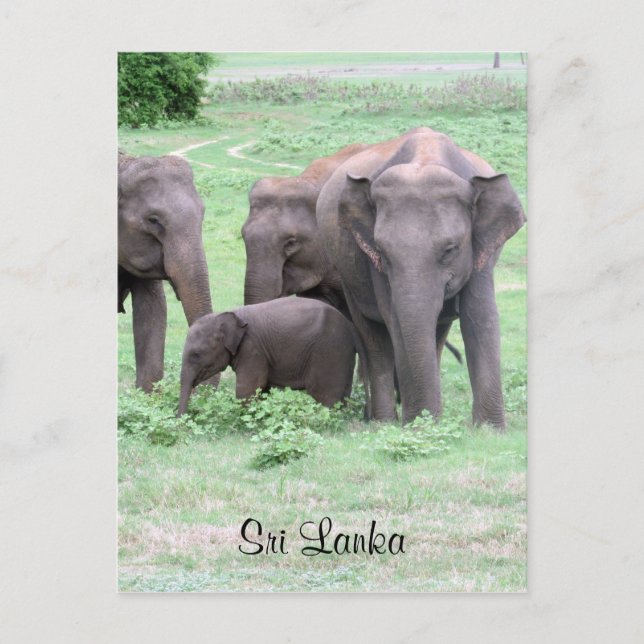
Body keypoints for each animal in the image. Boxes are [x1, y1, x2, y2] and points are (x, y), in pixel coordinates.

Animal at [177, 298, 364, 416]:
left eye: (196, 355)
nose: (183, 419)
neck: (230, 314)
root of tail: (352, 330)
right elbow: (262, 388)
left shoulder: (252, 349)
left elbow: (248, 387)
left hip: (329, 351)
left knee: (325, 396)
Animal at [316, 127, 526, 428]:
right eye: (382, 251)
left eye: (450, 250)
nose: (425, 420)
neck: (426, 157)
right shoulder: (372, 260)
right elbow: (395, 319)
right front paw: (421, 426)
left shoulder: (482, 247)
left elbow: (480, 315)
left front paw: (489, 429)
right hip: (347, 275)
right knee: (374, 338)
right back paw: (383, 421)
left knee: (438, 331)